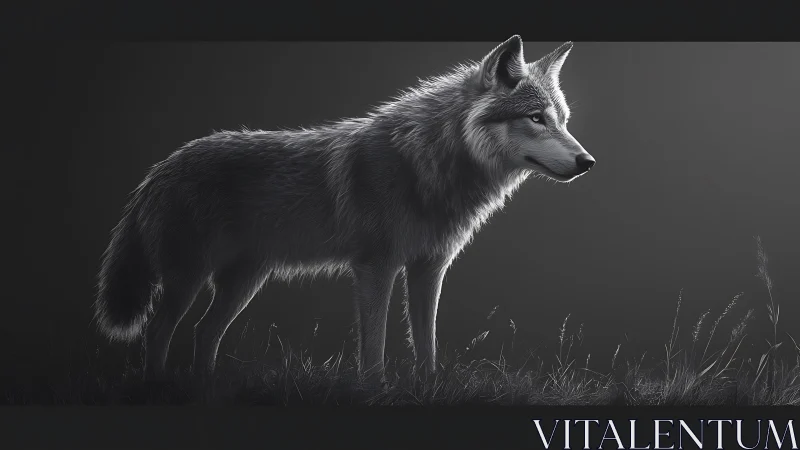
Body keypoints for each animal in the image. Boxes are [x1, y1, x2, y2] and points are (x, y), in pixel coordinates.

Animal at [94, 36, 595, 383]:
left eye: (563, 121)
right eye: (536, 119)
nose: (587, 162)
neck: (425, 165)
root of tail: (160, 169)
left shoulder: (429, 267)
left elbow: (426, 343)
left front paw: (429, 387)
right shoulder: (376, 266)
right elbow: (373, 345)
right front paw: (374, 390)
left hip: (243, 281)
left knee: (203, 332)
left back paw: (205, 387)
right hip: (190, 278)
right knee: (159, 330)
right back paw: (160, 386)